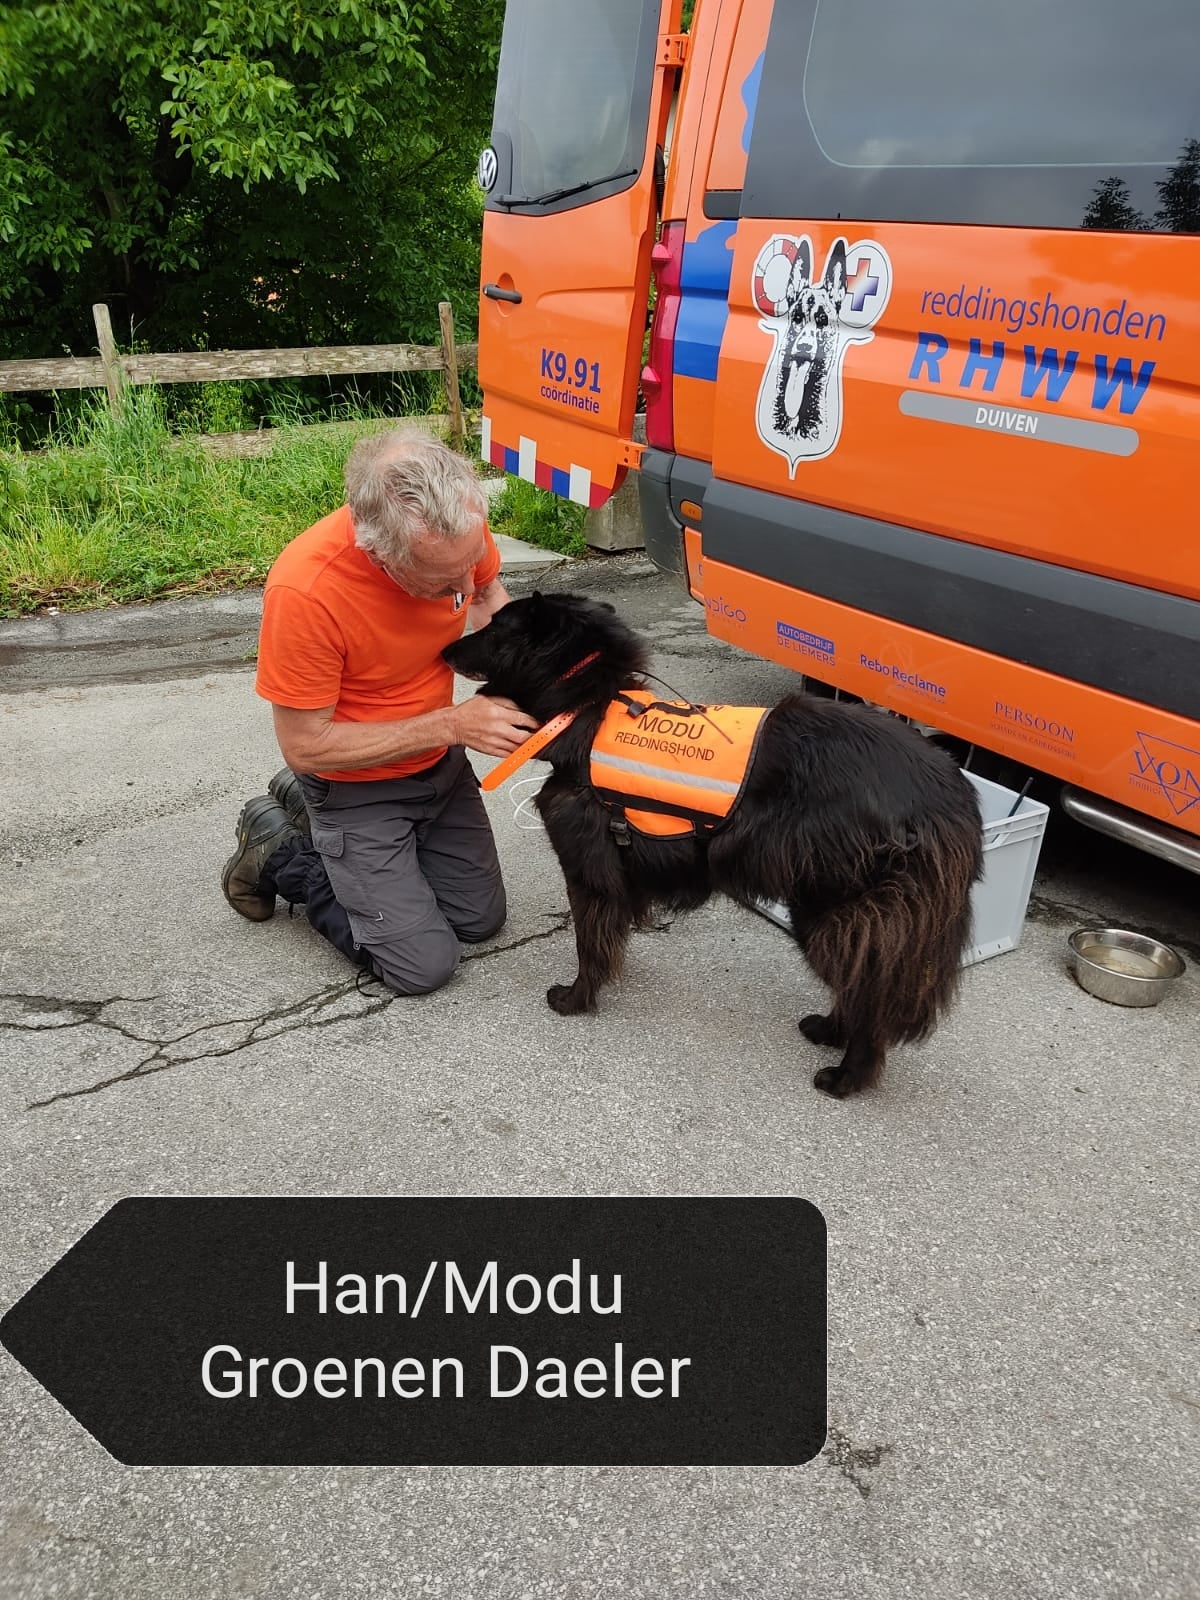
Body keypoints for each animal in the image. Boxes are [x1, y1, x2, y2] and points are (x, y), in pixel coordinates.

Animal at [444, 594, 983, 1098]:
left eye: (493, 626)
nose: (445, 649)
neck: (588, 707)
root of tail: (947, 796)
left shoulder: (587, 874)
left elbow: (588, 944)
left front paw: (577, 999)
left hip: (829, 913)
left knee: (869, 997)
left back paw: (847, 1074)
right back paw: (831, 1032)